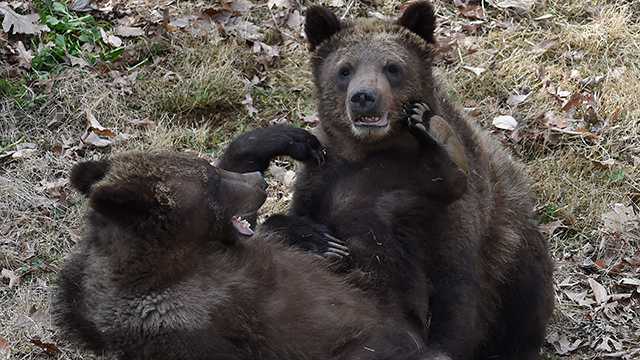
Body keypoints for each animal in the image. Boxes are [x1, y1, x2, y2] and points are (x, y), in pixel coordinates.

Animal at [216, 1, 556, 358]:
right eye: (345, 70)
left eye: (392, 67)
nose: (364, 97)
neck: (373, 152)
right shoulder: (322, 179)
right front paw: (316, 238)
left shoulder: (449, 218)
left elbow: (456, 293)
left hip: (514, 247)